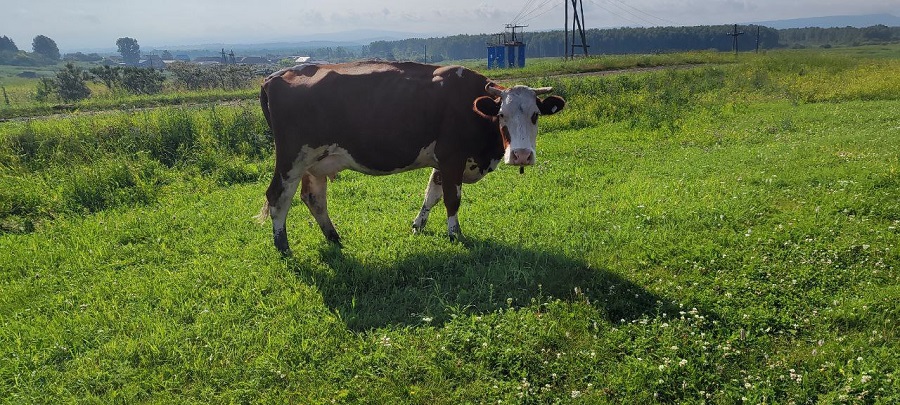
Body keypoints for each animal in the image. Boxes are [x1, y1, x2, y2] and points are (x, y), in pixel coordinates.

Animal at [256, 60, 564, 252]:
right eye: (502, 115)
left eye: (535, 115)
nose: (522, 155)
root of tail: (274, 76)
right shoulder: (452, 157)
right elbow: (452, 199)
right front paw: (455, 234)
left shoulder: (443, 162)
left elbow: (432, 194)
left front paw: (418, 226)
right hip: (291, 159)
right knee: (278, 198)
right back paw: (283, 248)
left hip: (315, 162)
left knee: (314, 199)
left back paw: (334, 238)